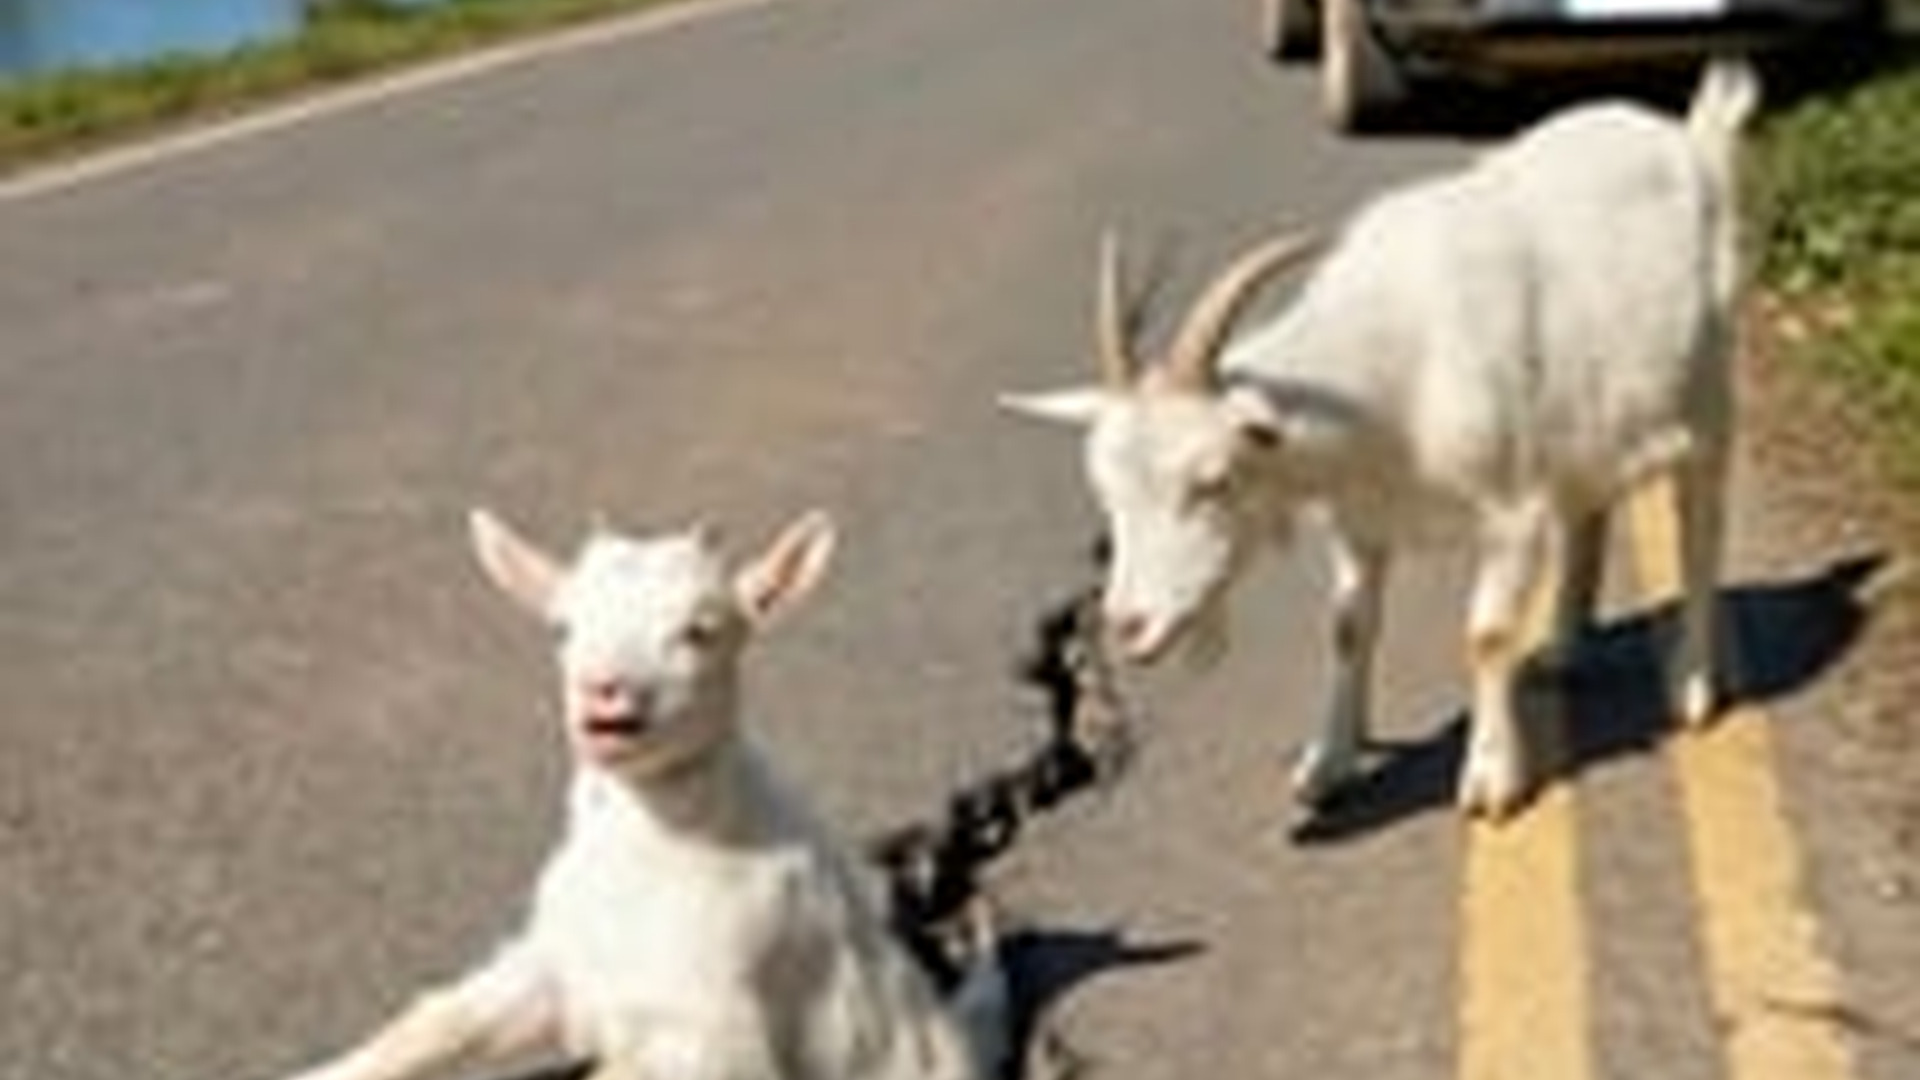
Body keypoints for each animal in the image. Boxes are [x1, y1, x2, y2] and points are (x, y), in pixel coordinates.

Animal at [279, 510, 1008, 1080]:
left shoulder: (714, 1033)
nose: (605, 696)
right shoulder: (562, 966)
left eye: (701, 630)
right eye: (562, 627)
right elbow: (437, 1023)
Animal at [1002, 59, 1760, 820]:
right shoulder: (1360, 521)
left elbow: (1485, 634)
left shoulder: (1511, 515)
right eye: (1107, 495)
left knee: (1702, 527)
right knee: (1589, 513)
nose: (1128, 627)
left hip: (1710, 397)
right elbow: (1347, 628)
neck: (1396, 373)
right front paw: (1326, 763)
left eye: (1212, 480)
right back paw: (1563, 651)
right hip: (1588, 426)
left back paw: (1694, 685)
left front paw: (1491, 781)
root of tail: (1690, 140)